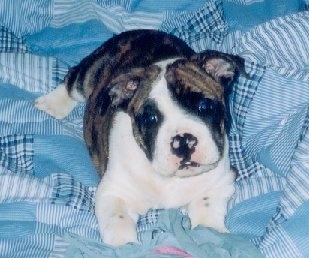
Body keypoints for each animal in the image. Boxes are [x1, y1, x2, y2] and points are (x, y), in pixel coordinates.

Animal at [34, 29, 241, 247]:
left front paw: (210, 236)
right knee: (72, 80)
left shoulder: (221, 181)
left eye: (204, 106)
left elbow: (206, 207)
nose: (183, 141)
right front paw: (125, 247)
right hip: (91, 71)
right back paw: (53, 104)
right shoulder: (114, 193)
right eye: (150, 118)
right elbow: (118, 222)